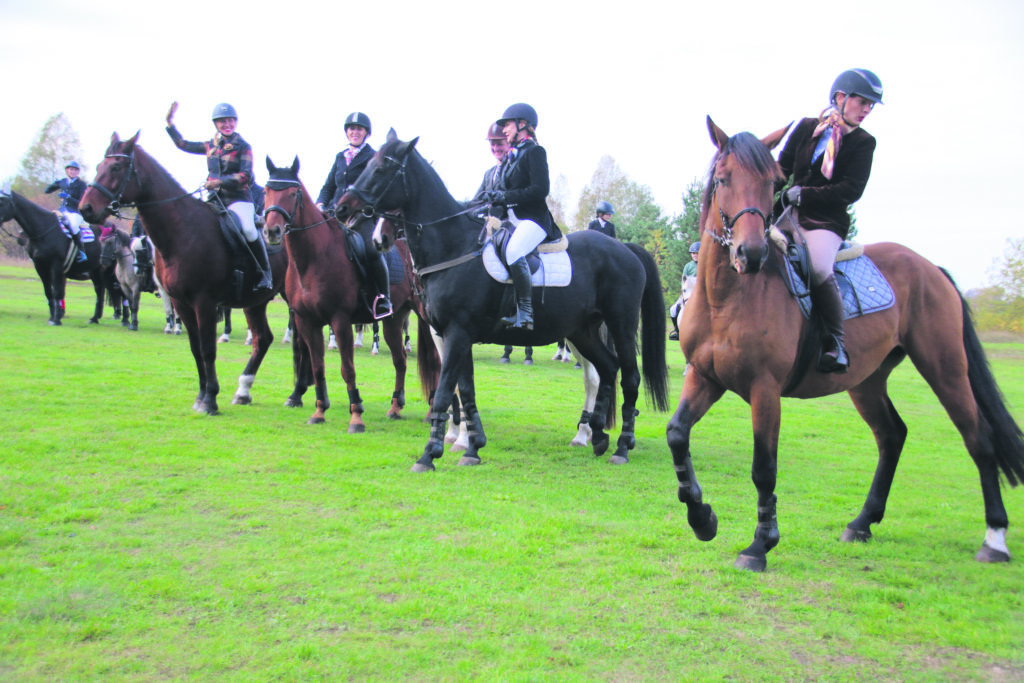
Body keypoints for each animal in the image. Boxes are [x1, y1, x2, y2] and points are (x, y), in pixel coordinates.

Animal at [0, 188, 105, 325]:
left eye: (2, 201)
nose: (21, 239)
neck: (44, 229)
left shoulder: (56, 267)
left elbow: (57, 292)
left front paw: (57, 319)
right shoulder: (40, 267)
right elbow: (48, 291)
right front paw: (52, 317)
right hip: (95, 271)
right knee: (99, 291)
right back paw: (94, 318)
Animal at [78, 132, 301, 413]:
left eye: (116, 167)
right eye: (99, 166)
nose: (86, 208)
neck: (183, 230)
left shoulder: (204, 302)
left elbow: (207, 349)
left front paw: (210, 400)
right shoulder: (180, 302)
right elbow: (195, 349)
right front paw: (201, 395)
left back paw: (296, 394)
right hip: (255, 302)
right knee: (262, 339)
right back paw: (243, 391)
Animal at [262, 157, 438, 430]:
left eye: (293, 193)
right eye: (266, 191)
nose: (272, 231)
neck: (313, 258)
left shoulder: (340, 320)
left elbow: (348, 368)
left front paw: (356, 415)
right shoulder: (306, 321)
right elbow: (318, 366)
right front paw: (319, 411)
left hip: (424, 318)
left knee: (436, 362)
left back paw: (432, 410)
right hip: (393, 319)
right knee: (400, 360)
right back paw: (395, 407)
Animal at [335, 129, 671, 471]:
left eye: (379, 169)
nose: (343, 210)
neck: (453, 246)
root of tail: (625, 249)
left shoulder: (457, 334)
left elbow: (445, 391)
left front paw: (430, 454)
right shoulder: (455, 335)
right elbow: (466, 390)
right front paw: (472, 447)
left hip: (621, 324)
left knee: (628, 377)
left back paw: (621, 446)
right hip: (582, 330)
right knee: (607, 368)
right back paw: (598, 435)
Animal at [667, 117, 1024, 573]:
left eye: (772, 183)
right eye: (723, 179)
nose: (752, 253)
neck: (725, 297)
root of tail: (931, 267)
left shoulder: (765, 390)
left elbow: (764, 467)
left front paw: (760, 545)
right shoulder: (704, 377)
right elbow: (677, 434)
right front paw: (702, 518)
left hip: (944, 368)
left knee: (978, 437)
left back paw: (995, 537)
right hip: (867, 380)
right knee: (892, 435)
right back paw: (862, 522)